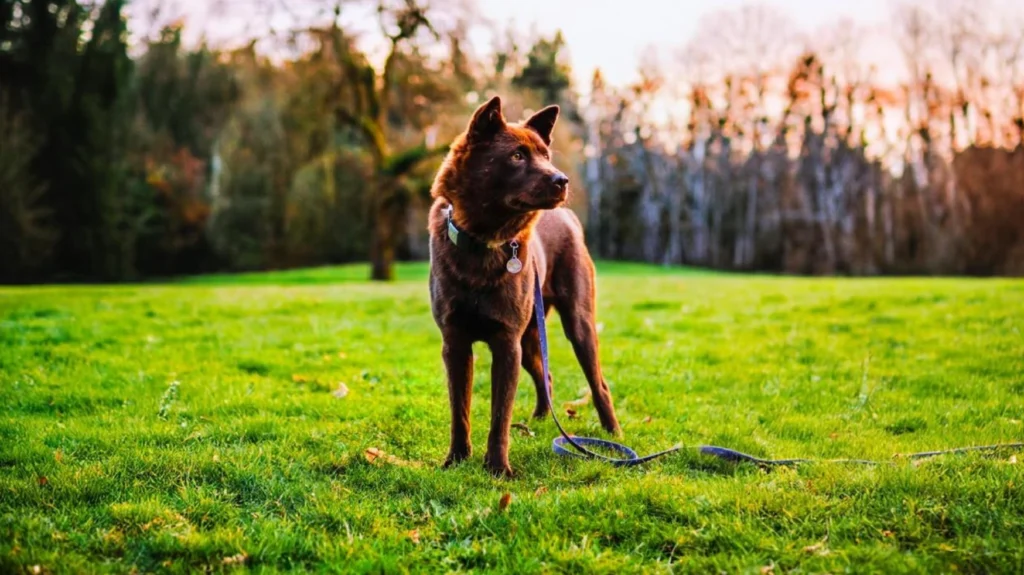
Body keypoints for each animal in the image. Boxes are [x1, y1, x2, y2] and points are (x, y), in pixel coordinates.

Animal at [425, 96, 618, 476]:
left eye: (545, 154)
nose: (562, 180)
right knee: (546, 376)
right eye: (516, 155)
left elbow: (500, 416)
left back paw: (612, 434)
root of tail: (569, 217)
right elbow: (460, 410)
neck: (483, 243)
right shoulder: (455, 343)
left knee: (599, 383)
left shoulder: (506, 343)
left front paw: (498, 468)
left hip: (578, 324)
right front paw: (456, 460)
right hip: (530, 336)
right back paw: (542, 419)